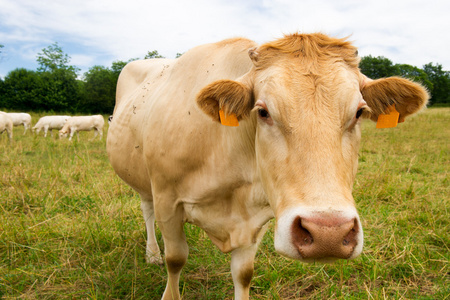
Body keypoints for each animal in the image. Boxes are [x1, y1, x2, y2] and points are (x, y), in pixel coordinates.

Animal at [106, 34, 428, 298]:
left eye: (360, 112)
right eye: (262, 111)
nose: (329, 235)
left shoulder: (256, 218)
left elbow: (243, 274)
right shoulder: (167, 201)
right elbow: (175, 260)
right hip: (143, 182)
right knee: (147, 211)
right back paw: (152, 253)